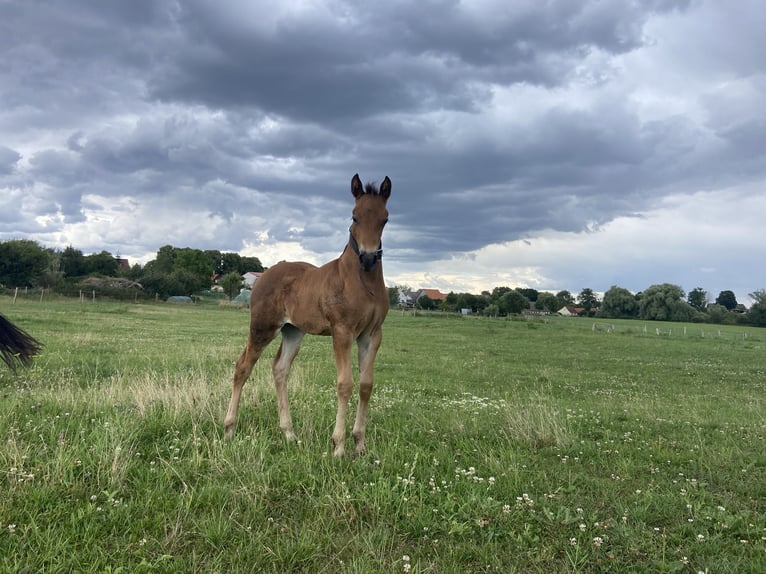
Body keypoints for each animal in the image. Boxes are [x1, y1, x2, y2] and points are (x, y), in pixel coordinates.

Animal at [220, 173, 390, 456]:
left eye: (385, 219)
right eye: (354, 216)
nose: (367, 257)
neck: (362, 282)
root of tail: (263, 275)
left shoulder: (371, 335)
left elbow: (366, 385)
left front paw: (360, 444)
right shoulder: (342, 332)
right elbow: (345, 384)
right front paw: (338, 446)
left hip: (293, 331)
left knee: (280, 369)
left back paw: (289, 433)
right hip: (262, 327)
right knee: (243, 366)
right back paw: (229, 428)